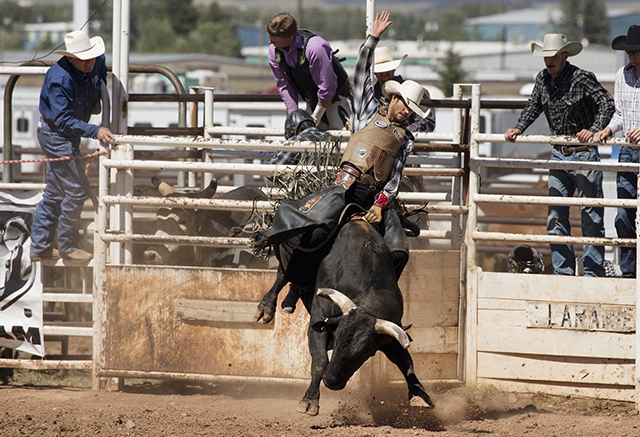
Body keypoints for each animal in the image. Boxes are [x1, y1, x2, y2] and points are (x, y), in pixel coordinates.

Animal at [255, 218, 436, 416]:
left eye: (365, 351)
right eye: (338, 338)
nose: (330, 380)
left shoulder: (388, 337)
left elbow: (406, 362)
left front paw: (420, 395)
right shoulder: (318, 322)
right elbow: (320, 360)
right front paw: (309, 400)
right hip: (285, 257)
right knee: (283, 275)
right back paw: (267, 307)